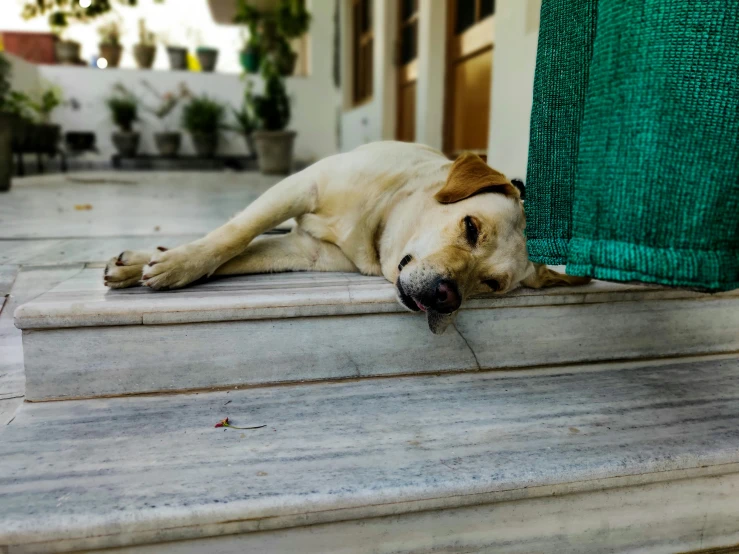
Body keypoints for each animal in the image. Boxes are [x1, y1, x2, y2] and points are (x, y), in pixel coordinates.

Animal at [104, 141, 588, 332]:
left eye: (492, 284)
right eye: (471, 227)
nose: (448, 297)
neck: (378, 220)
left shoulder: (306, 252)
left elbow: (240, 253)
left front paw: (172, 264)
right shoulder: (302, 185)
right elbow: (234, 235)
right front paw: (178, 263)